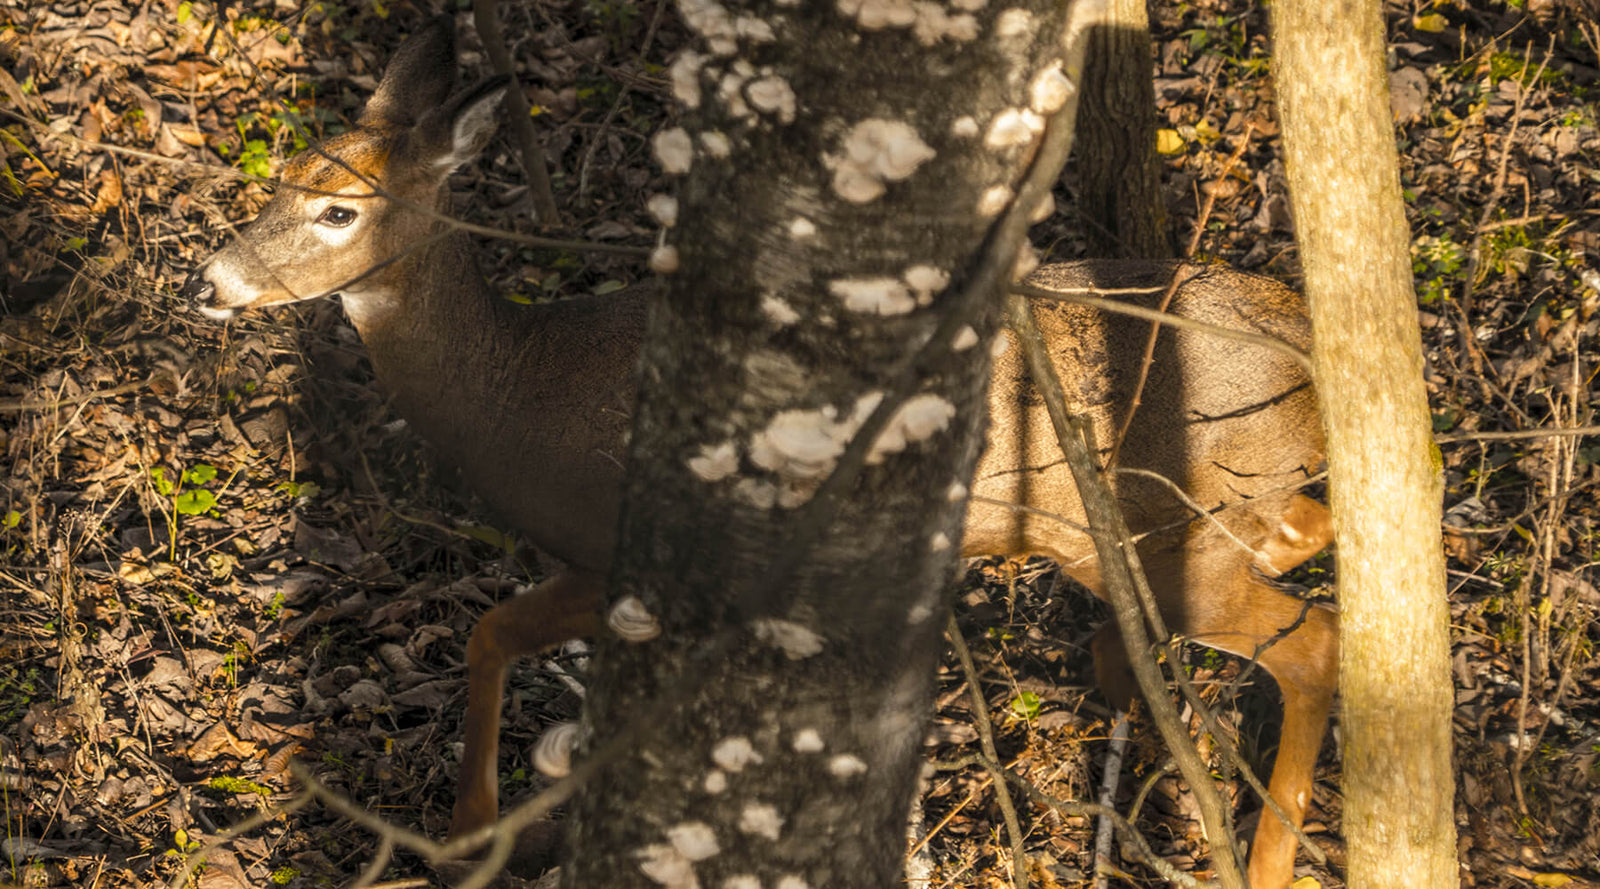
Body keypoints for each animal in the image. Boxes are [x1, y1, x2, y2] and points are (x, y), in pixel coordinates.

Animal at [181, 19, 1337, 889]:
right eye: (280, 179)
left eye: (340, 211)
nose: (211, 280)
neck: (519, 396)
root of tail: (1302, 349)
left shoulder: (628, 556)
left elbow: (488, 632)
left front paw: (473, 835)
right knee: (1302, 542)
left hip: (1141, 534)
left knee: (1311, 642)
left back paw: (1266, 857)